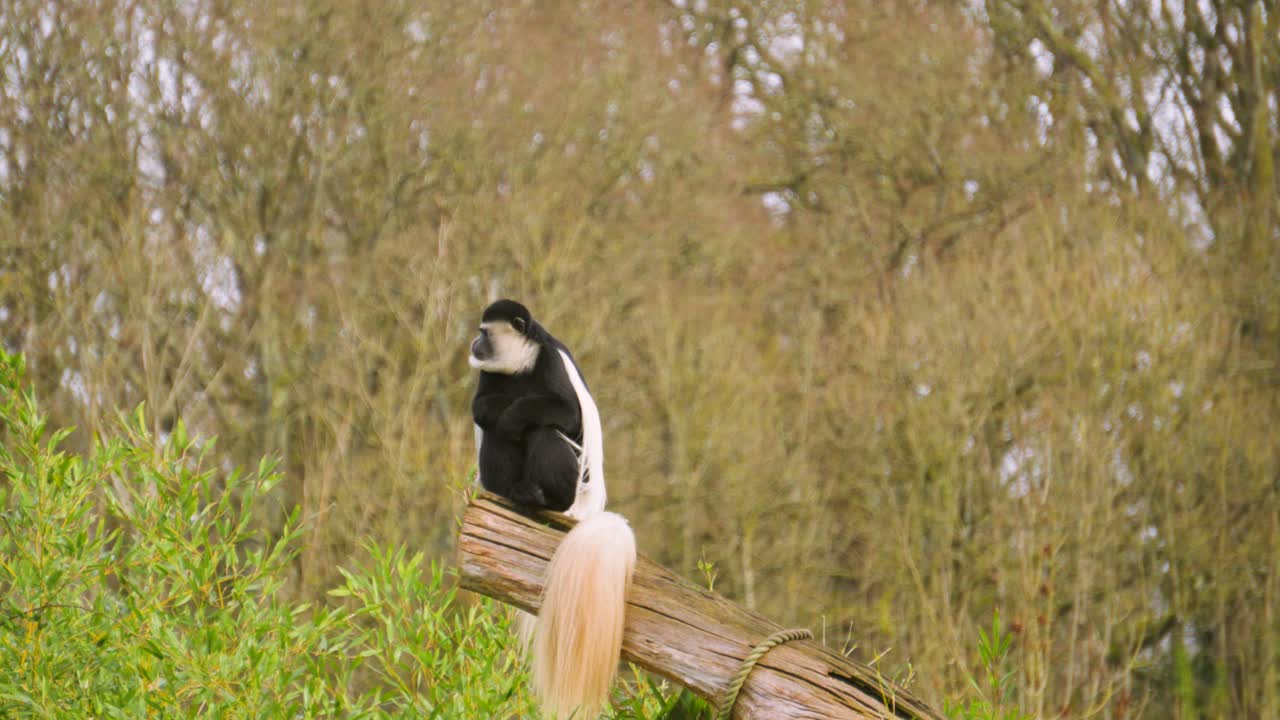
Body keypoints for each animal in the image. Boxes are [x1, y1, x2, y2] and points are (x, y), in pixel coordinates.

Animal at [468, 299, 635, 720]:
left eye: (485, 332)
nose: (473, 344)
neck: (520, 364)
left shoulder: (550, 364)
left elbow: (567, 414)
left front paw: (515, 413)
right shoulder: (490, 375)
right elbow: (481, 408)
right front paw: (500, 409)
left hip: (573, 483)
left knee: (543, 432)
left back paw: (539, 496)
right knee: (496, 431)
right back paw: (513, 493)